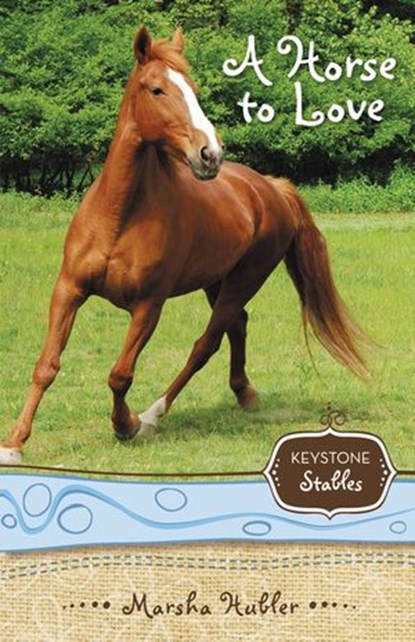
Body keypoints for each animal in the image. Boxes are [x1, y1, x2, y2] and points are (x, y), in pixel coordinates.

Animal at [0, 27, 368, 465]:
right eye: (157, 89)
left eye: (193, 90)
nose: (210, 154)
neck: (120, 215)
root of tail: (270, 187)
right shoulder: (69, 289)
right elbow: (47, 365)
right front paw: (14, 443)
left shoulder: (148, 306)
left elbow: (120, 374)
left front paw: (126, 425)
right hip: (217, 281)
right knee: (237, 325)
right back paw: (244, 393)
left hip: (245, 278)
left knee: (206, 344)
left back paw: (154, 414)